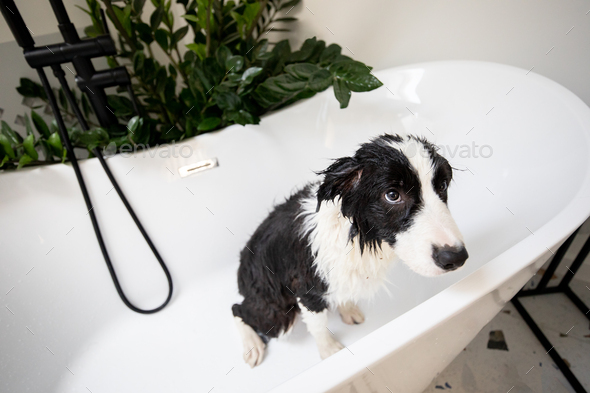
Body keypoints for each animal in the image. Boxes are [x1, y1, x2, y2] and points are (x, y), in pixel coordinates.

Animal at [231, 133, 468, 366]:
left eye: (442, 186)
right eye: (392, 195)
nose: (455, 257)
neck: (358, 237)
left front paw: (346, 308)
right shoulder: (307, 288)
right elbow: (318, 325)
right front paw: (329, 352)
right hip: (276, 314)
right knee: (238, 309)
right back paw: (252, 345)